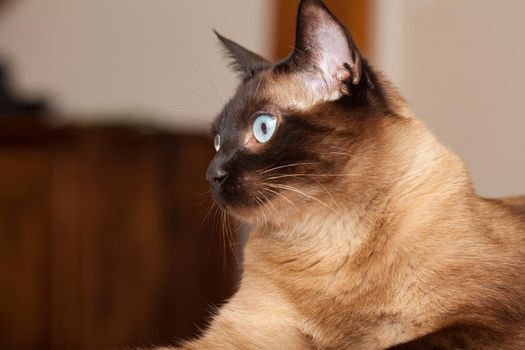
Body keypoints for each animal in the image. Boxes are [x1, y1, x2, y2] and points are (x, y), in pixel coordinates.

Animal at [160, 0, 524, 350]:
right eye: (218, 141)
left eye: (263, 128)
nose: (212, 174)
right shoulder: (240, 336)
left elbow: (404, 345)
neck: (326, 239)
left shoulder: (483, 324)